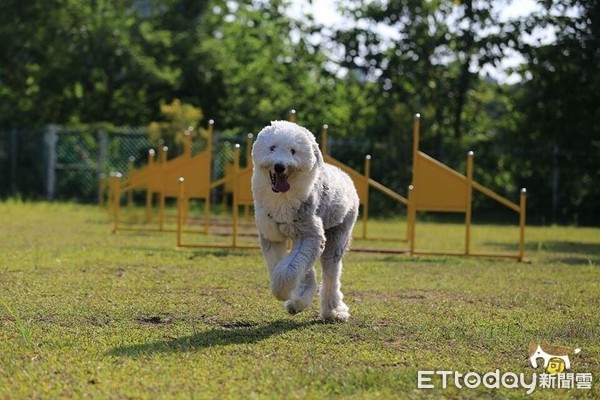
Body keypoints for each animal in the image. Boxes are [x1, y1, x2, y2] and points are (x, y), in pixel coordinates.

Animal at [251, 119, 358, 322]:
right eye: (272, 148)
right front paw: (290, 294)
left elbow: (290, 269)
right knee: (306, 268)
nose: (279, 166)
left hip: (338, 234)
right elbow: (282, 264)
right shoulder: (272, 236)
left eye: (293, 151)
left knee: (331, 273)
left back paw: (333, 311)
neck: (283, 198)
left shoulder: (311, 235)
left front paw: (283, 292)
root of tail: (344, 174)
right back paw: (299, 300)